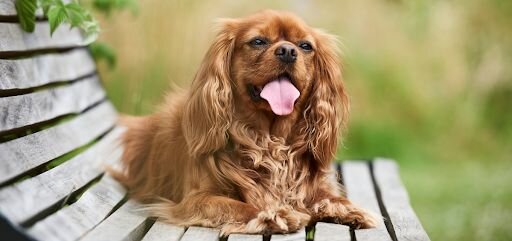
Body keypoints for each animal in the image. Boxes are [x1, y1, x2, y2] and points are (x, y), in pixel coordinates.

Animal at [112, 9, 376, 235]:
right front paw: (273, 214)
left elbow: (328, 195)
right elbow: (237, 205)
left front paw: (346, 208)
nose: (288, 51)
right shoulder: (196, 199)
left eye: (305, 46)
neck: (271, 139)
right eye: (258, 41)